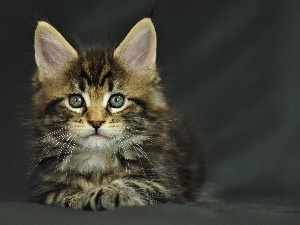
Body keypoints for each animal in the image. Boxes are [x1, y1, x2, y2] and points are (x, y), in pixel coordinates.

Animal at [28, 18, 205, 211]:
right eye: (76, 101)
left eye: (117, 100)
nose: (96, 122)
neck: (97, 163)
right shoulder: (47, 189)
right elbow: (60, 194)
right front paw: (78, 196)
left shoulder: (165, 182)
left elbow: (136, 184)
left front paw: (106, 191)